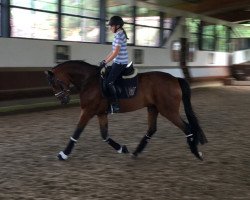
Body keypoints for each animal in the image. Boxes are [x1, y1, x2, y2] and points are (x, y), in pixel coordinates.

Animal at [45, 59, 207, 161]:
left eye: (54, 84)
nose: (63, 100)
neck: (89, 81)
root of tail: (175, 79)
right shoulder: (101, 113)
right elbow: (104, 135)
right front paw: (122, 148)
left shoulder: (88, 111)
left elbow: (76, 133)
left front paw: (63, 154)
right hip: (153, 108)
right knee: (152, 129)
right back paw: (136, 152)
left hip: (168, 110)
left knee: (187, 127)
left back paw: (196, 152)